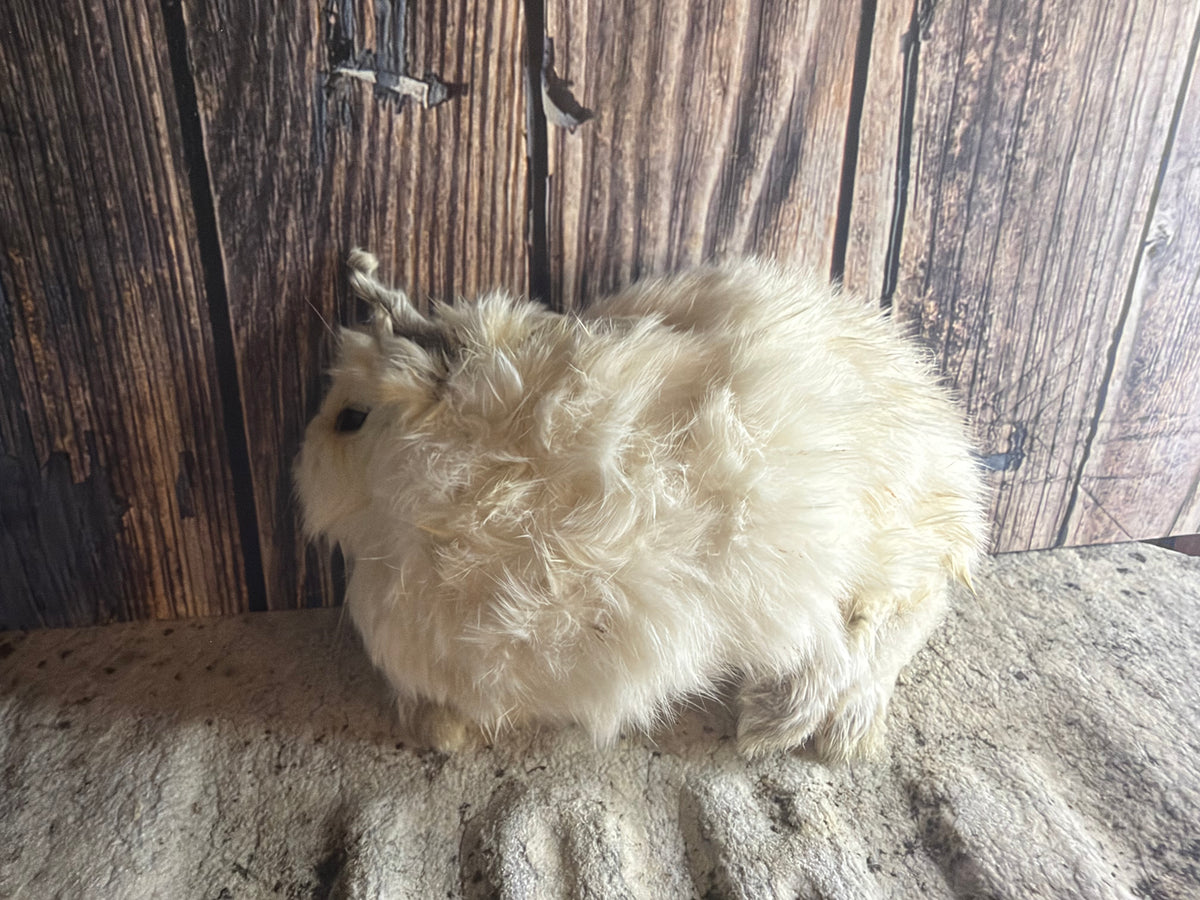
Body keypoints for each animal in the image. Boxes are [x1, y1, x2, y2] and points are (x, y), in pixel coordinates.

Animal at [294, 250, 988, 760]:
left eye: (350, 419)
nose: (299, 475)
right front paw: (442, 732)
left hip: (879, 535)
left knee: (903, 615)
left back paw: (797, 724)